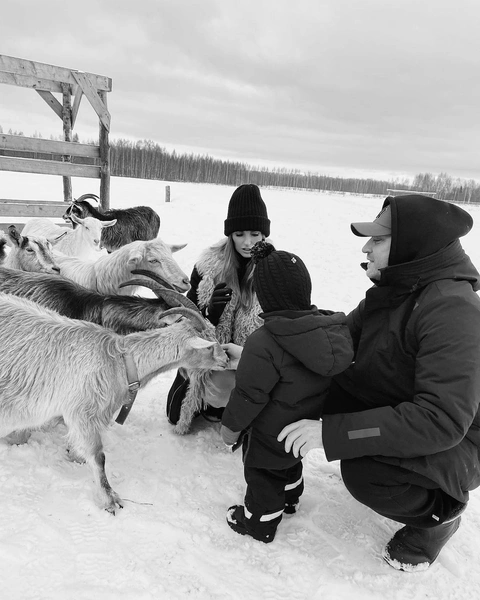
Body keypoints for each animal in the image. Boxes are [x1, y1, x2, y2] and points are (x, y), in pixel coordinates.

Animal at [0, 292, 229, 512]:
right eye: (209, 345)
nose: (226, 359)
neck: (120, 361)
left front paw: (74, 454)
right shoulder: (83, 412)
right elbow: (99, 457)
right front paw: (110, 500)